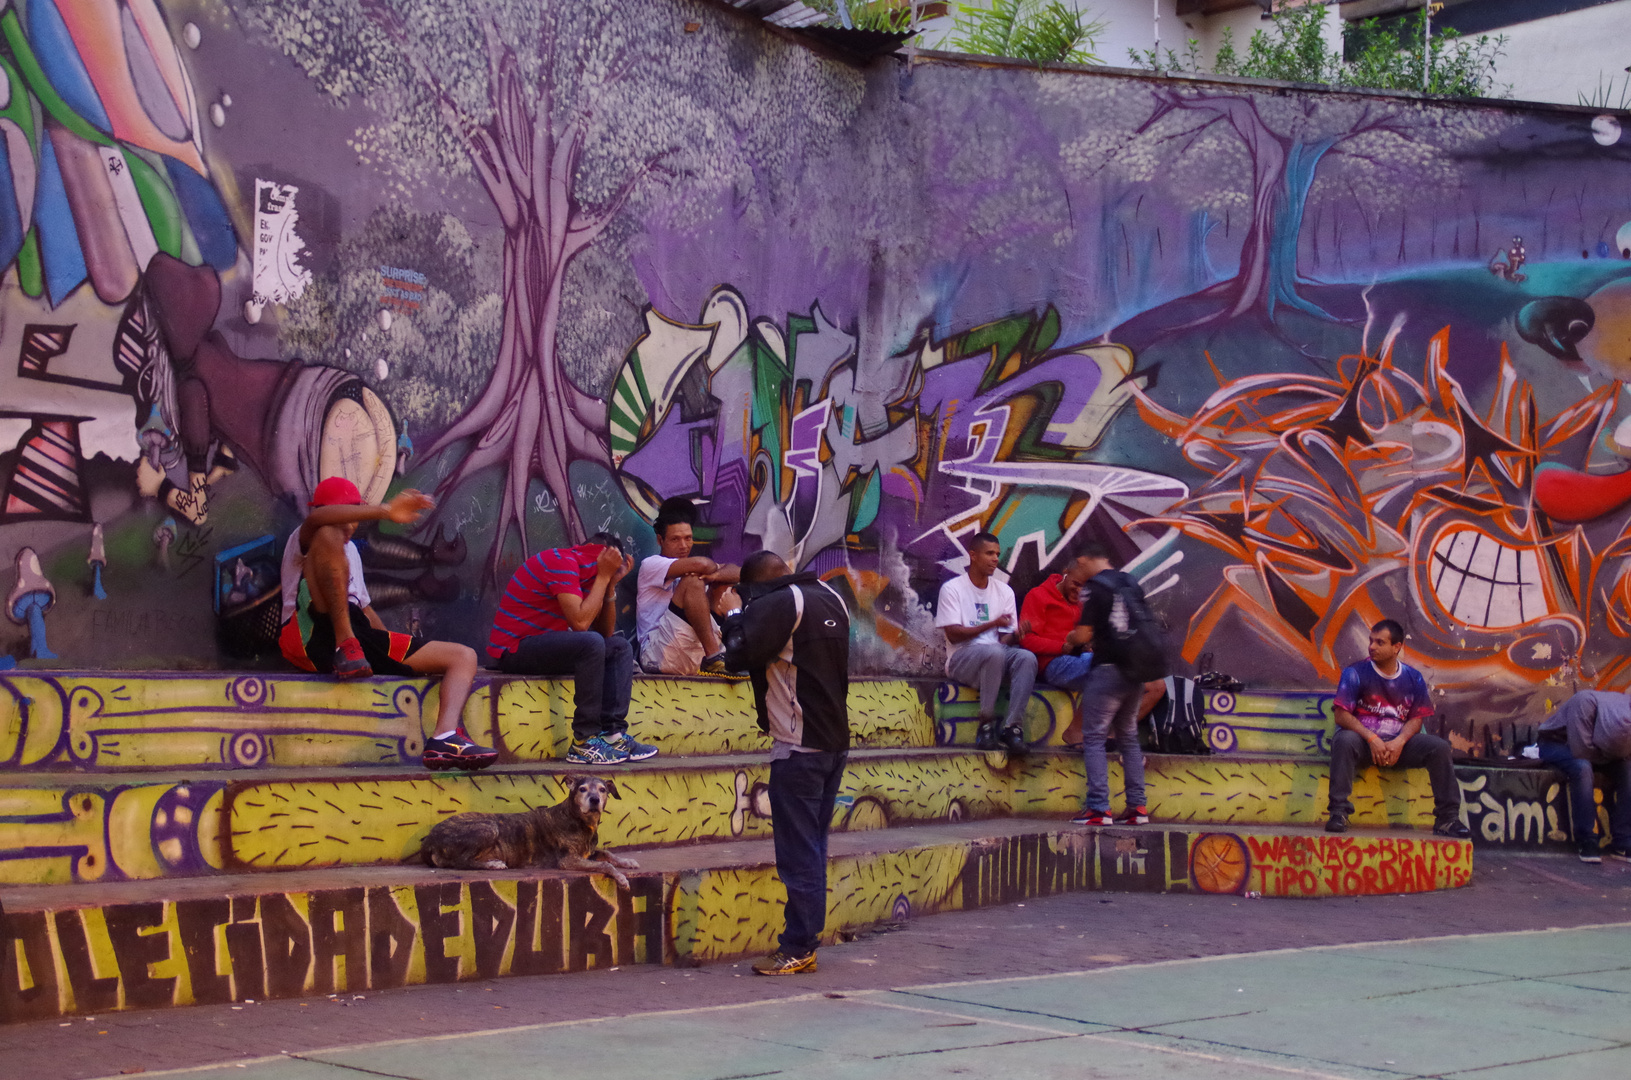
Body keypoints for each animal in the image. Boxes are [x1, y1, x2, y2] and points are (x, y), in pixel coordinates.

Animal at [414, 779, 636, 887]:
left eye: (602, 790)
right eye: (582, 789)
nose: (594, 800)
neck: (580, 821)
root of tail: (429, 840)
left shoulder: (588, 853)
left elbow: (607, 853)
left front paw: (627, 862)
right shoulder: (568, 860)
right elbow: (605, 864)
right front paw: (621, 878)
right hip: (488, 827)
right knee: (462, 861)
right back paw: (493, 864)